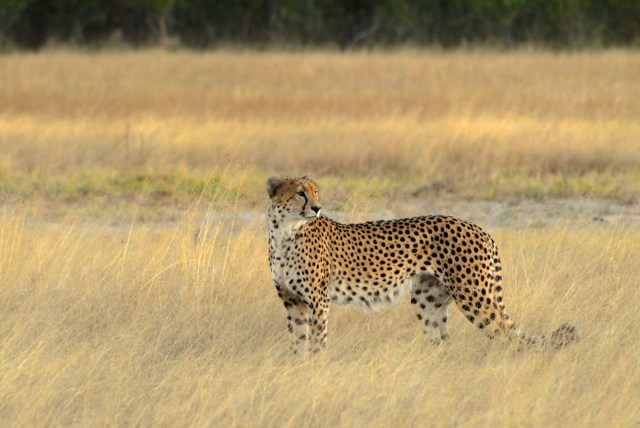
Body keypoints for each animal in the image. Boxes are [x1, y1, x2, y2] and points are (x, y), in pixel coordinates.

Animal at [267, 175, 579, 354]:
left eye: (316, 192)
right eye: (300, 193)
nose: (317, 208)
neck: (284, 231)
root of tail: (478, 227)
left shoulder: (318, 301)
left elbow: (316, 342)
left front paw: (315, 369)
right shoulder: (292, 301)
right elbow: (298, 341)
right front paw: (299, 369)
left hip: (475, 297)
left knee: (505, 334)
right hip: (429, 301)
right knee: (443, 344)